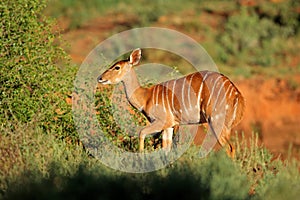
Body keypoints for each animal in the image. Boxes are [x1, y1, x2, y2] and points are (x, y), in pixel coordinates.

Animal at [97, 48, 245, 158]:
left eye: (117, 67)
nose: (100, 78)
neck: (146, 97)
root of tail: (237, 94)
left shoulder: (161, 121)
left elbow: (142, 133)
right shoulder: (170, 125)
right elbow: (166, 149)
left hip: (215, 121)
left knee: (230, 148)